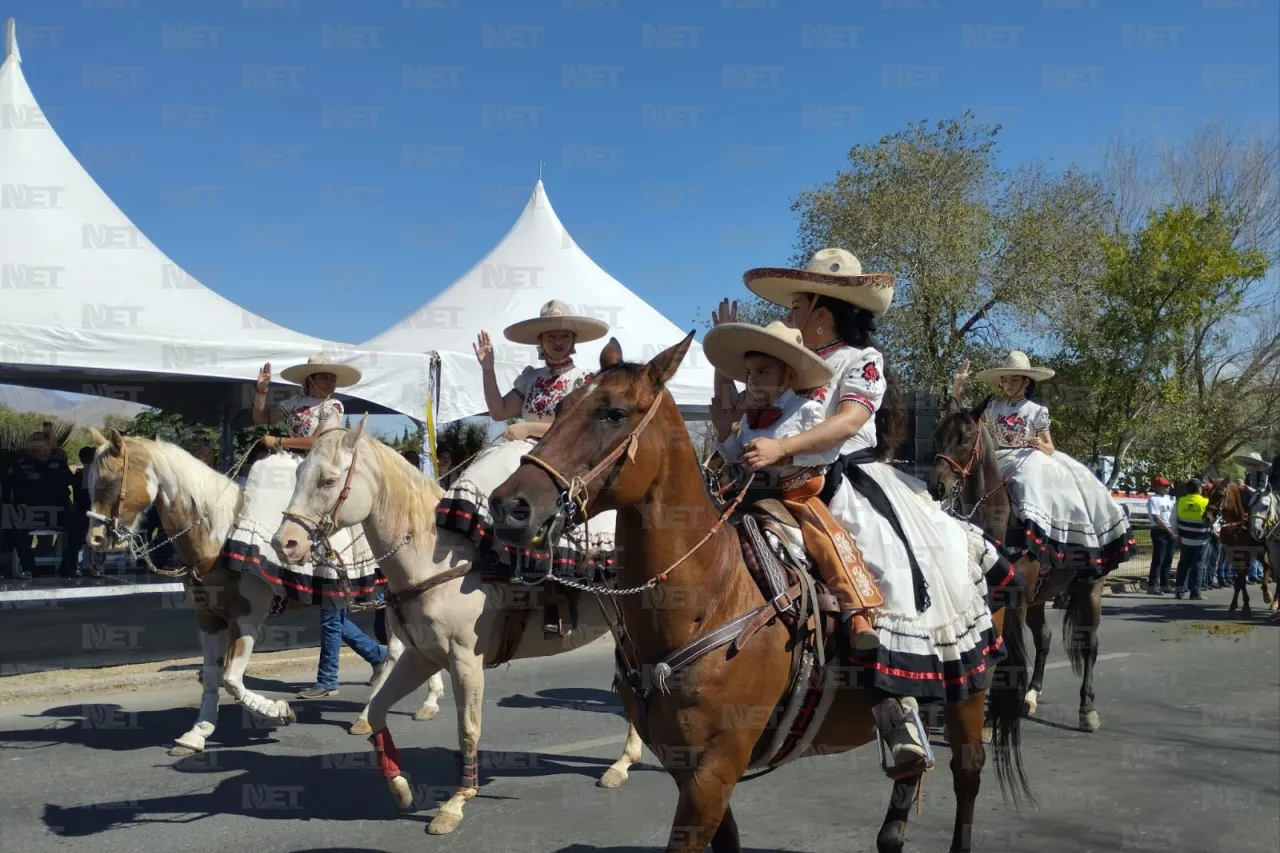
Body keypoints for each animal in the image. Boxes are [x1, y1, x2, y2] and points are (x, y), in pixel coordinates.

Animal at [82, 427, 448, 753]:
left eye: (110, 482)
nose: (95, 539)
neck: (220, 536)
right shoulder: (208, 618)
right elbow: (212, 677)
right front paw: (197, 734)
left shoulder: (248, 617)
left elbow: (231, 678)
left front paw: (279, 712)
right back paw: (426, 702)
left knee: (399, 651)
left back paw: (369, 714)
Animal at [271, 414, 650, 835]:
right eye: (298, 473)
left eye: (328, 480)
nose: (284, 543)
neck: (436, 560)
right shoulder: (421, 657)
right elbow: (377, 712)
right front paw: (400, 787)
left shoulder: (466, 661)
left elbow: (468, 730)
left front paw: (456, 803)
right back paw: (622, 763)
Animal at [483, 335, 1034, 850]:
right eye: (559, 409)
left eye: (613, 413)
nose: (509, 505)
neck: (709, 600)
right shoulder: (691, 772)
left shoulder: (714, 771)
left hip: (969, 693)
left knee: (967, 776)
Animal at [931, 394, 1111, 727]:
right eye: (937, 435)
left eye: (965, 438)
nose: (936, 485)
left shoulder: (1016, 601)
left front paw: (994, 717)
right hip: (1040, 598)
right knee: (1044, 637)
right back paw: (1031, 695)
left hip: (1089, 589)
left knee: (1090, 644)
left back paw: (1087, 709)